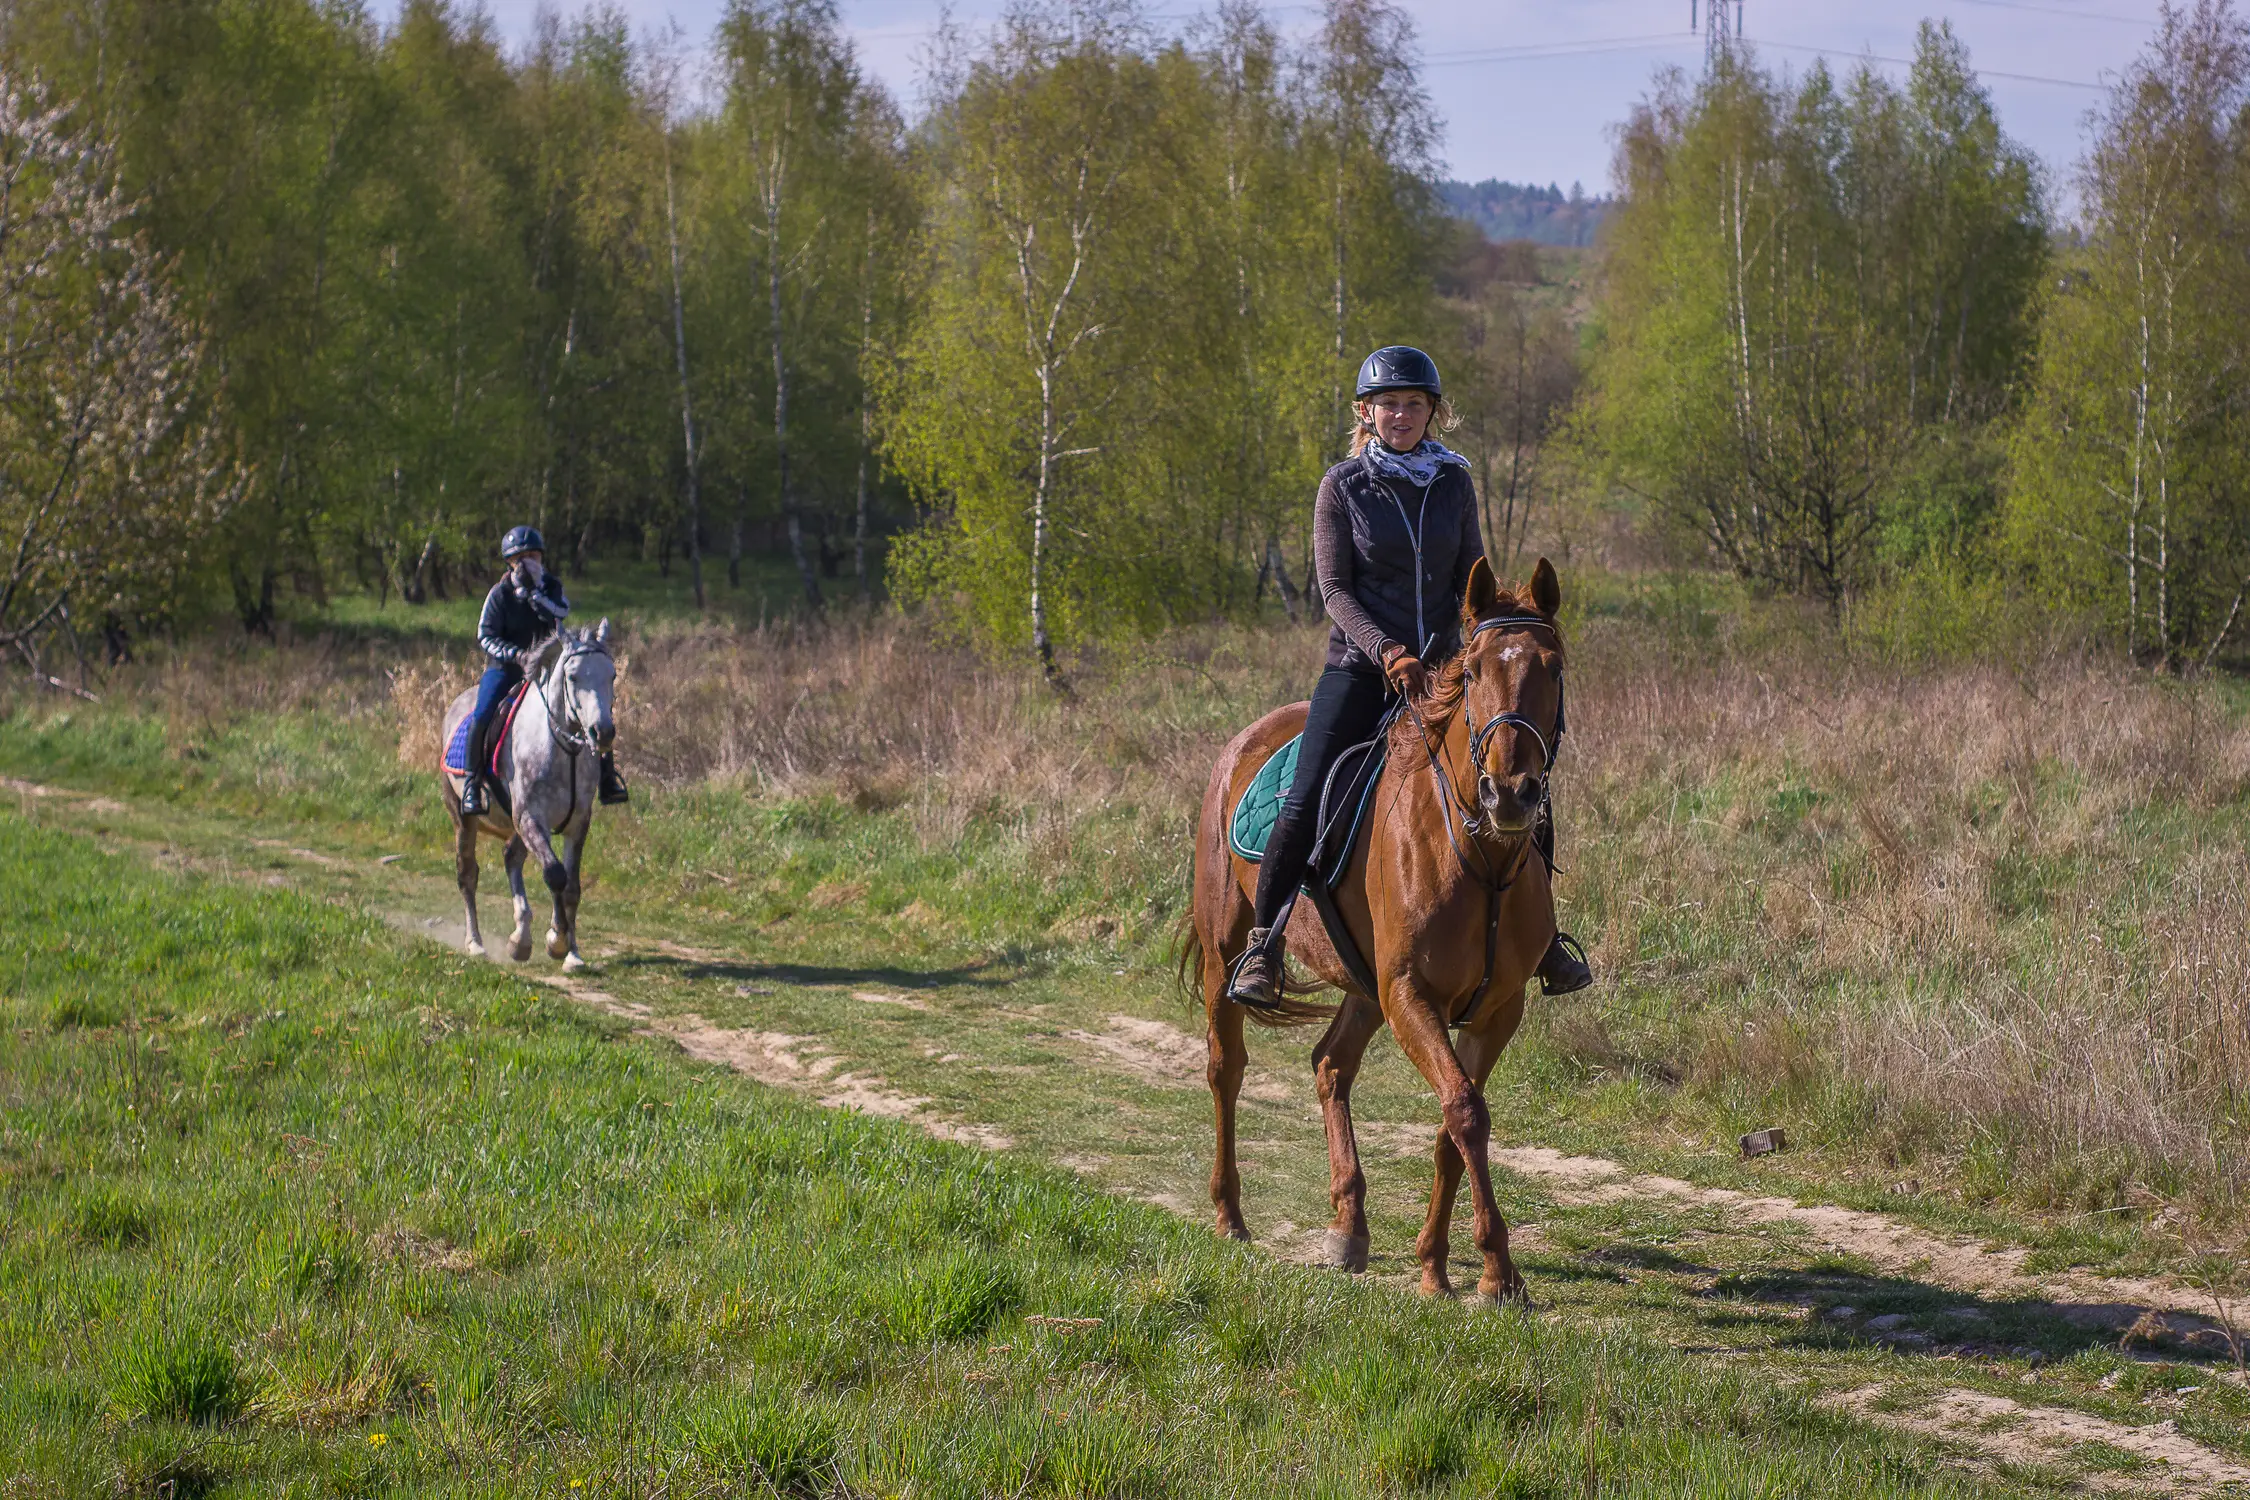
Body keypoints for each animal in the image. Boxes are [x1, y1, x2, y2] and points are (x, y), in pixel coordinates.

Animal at [441, 620, 616, 976]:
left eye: (612, 676)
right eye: (573, 677)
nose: (602, 733)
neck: (564, 750)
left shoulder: (577, 823)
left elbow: (572, 886)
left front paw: (572, 954)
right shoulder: (530, 817)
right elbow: (555, 875)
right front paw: (556, 941)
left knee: (511, 858)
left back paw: (519, 938)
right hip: (463, 819)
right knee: (467, 874)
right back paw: (475, 943)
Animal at [1179, 555, 1566, 1304]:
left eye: (1554, 667)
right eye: (1474, 671)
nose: (1511, 794)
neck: (1480, 858)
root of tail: (1242, 743)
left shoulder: (1496, 1009)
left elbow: (1454, 1120)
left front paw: (1435, 1264)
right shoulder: (1410, 994)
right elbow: (1465, 1110)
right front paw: (1497, 1271)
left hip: (1363, 986)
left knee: (1330, 1065)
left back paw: (1349, 1227)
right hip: (1225, 952)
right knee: (1225, 1067)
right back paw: (1230, 1214)